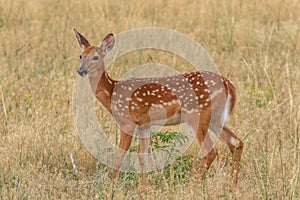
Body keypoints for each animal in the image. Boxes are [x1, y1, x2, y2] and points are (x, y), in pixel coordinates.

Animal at [72, 28, 244, 191]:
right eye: (81, 56)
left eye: (96, 57)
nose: (80, 70)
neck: (112, 92)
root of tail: (229, 85)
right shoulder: (144, 124)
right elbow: (142, 156)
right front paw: (143, 189)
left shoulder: (127, 122)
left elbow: (120, 155)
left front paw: (112, 188)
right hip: (215, 118)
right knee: (236, 143)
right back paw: (233, 187)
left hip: (197, 114)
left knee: (210, 151)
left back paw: (194, 187)